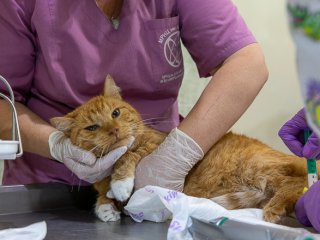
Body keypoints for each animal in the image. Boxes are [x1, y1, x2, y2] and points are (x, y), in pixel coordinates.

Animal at [51, 74, 318, 223]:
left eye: (115, 113)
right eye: (92, 127)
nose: (114, 130)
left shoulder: (155, 145)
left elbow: (127, 156)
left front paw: (120, 183)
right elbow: (103, 193)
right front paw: (106, 207)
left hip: (256, 168)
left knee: (295, 181)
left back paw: (276, 208)